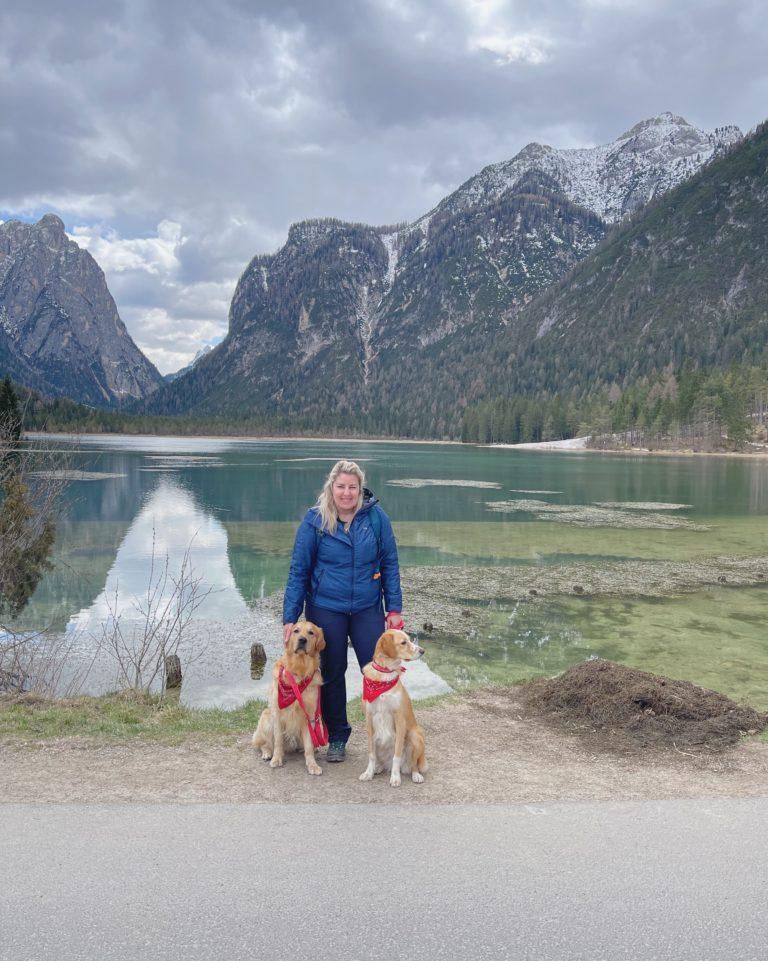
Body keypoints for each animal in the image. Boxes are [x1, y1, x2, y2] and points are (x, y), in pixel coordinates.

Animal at [358, 632, 426, 788]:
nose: (422, 651)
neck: (384, 674)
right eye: (403, 642)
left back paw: (415, 775)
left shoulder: (399, 719)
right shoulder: (369, 719)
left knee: (413, 764)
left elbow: (397, 756)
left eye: (409, 640)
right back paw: (378, 768)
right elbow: (371, 755)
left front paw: (395, 778)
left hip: (415, 735)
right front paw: (368, 773)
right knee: (380, 760)